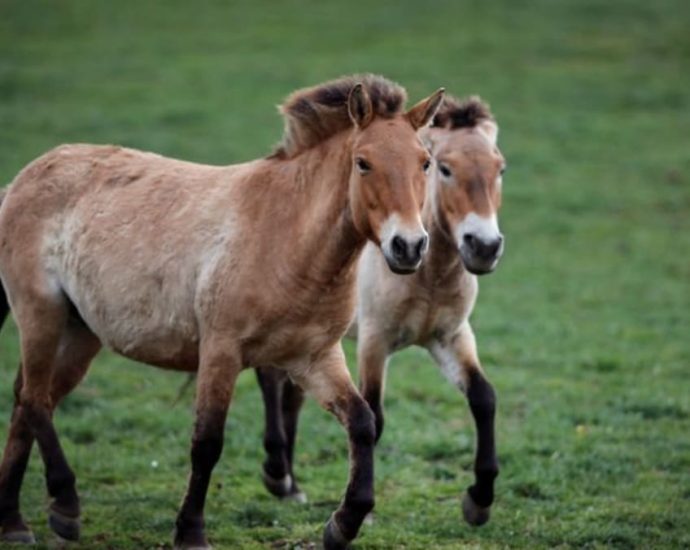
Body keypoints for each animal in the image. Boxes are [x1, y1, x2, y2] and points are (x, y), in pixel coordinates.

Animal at [0, 75, 444, 548]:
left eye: (425, 163)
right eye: (363, 163)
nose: (409, 246)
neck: (286, 238)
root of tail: (24, 178)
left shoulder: (314, 357)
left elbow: (362, 422)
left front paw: (342, 525)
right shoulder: (220, 352)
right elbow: (207, 442)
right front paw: (191, 531)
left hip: (80, 332)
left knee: (29, 401)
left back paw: (14, 521)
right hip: (40, 313)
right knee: (34, 399)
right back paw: (64, 506)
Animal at [255, 96, 502, 532]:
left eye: (499, 168)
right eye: (445, 168)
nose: (484, 247)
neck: (428, 275)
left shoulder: (451, 337)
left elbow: (483, 398)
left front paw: (478, 501)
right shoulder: (374, 341)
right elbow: (375, 414)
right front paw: (361, 514)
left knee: (292, 395)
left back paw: (291, 485)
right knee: (270, 379)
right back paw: (277, 475)